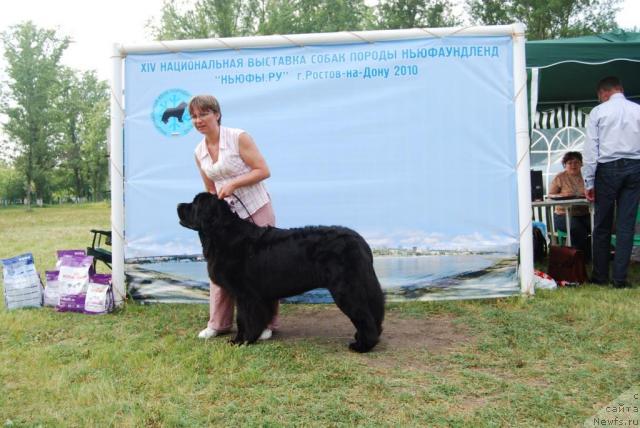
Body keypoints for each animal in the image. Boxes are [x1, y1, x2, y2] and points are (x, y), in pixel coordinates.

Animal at [176, 193, 384, 352]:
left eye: (194, 203)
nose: (178, 204)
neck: (223, 234)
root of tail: (360, 240)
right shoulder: (257, 296)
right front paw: (252, 337)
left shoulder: (245, 294)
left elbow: (243, 318)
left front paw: (241, 341)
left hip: (346, 289)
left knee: (363, 315)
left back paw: (362, 345)